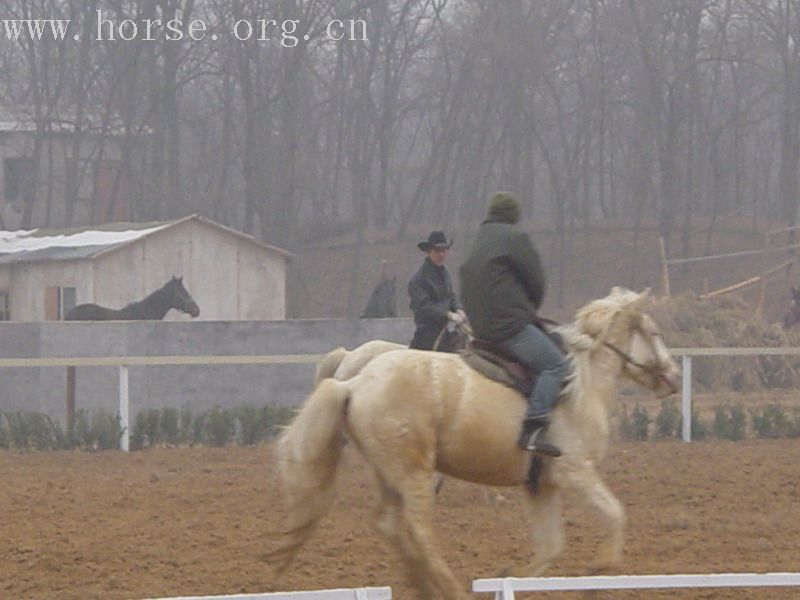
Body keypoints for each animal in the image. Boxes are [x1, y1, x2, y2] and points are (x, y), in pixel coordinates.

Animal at [272, 288, 680, 596]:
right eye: (655, 333)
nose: (673, 377)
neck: (581, 384)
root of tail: (356, 382)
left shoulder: (542, 485)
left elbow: (550, 547)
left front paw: (511, 575)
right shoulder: (575, 473)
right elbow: (615, 515)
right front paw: (599, 571)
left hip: (389, 472)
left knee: (391, 525)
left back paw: (421, 583)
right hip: (412, 472)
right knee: (418, 530)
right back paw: (446, 586)